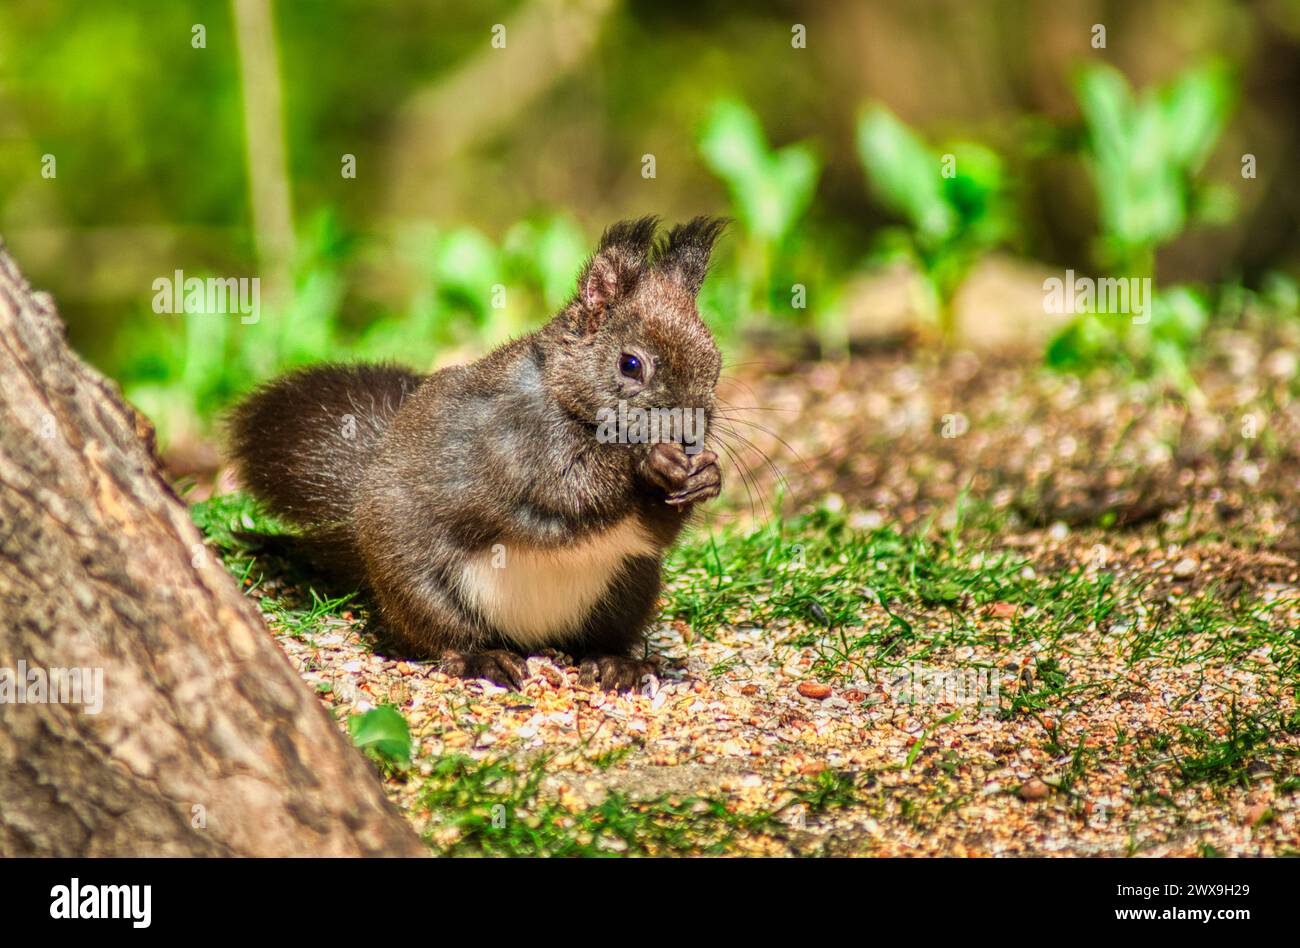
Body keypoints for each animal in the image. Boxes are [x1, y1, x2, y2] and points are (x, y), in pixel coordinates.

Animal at [226, 216, 726, 691]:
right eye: (630, 365)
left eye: (715, 365)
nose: (689, 436)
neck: (565, 398)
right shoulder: (509, 446)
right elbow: (567, 494)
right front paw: (648, 462)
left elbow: (657, 533)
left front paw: (707, 476)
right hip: (417, 582)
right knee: (444, 636)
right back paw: (481, 658)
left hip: (632, 588)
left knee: (601, 637)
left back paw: (613, 662)